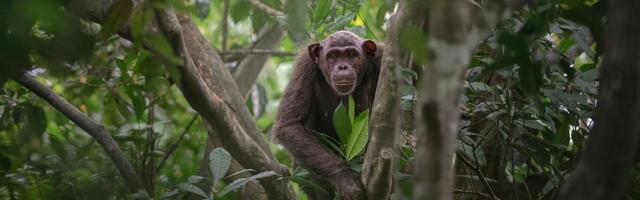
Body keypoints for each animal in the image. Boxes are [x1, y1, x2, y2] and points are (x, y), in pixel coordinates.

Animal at [274, 31, 382, 200]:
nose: (343, 66)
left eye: (352, 55)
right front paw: (346, 180)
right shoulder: (305, 66)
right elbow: (289, 124)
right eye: (333, 56)